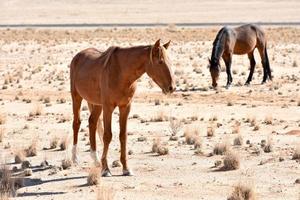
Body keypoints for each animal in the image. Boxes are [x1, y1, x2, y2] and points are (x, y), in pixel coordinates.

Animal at [69, 39, 176, 177]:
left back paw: (96, 160)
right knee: (76, 123)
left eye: (170, 62)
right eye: (160, 62)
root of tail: (78, 56)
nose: (172, 87)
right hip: (76, 97)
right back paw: (75, 158)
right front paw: (106, 169)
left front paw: (126, 168)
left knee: (92, 122)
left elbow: (123, 136)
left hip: (97, 104)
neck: (121, 72)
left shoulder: (125, 107)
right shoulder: (108, 107)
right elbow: (107, 135)